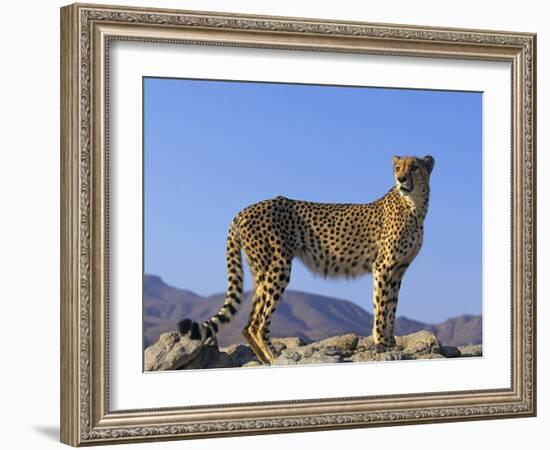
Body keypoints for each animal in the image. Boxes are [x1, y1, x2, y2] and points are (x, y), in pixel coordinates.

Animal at [180, 156, 436, 366]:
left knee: (248, 324)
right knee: (258, 324)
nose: (401, 179)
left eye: (414, 167)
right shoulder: (383, 267)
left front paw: (390, 342)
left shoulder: (398, 270)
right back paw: (276, 358)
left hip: (261, 271)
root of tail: (244, 210)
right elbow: (381, 306)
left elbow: (391, 306)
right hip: (278, 266)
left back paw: (266, 360)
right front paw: (381, 343)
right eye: (397, 168)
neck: (414, 206)